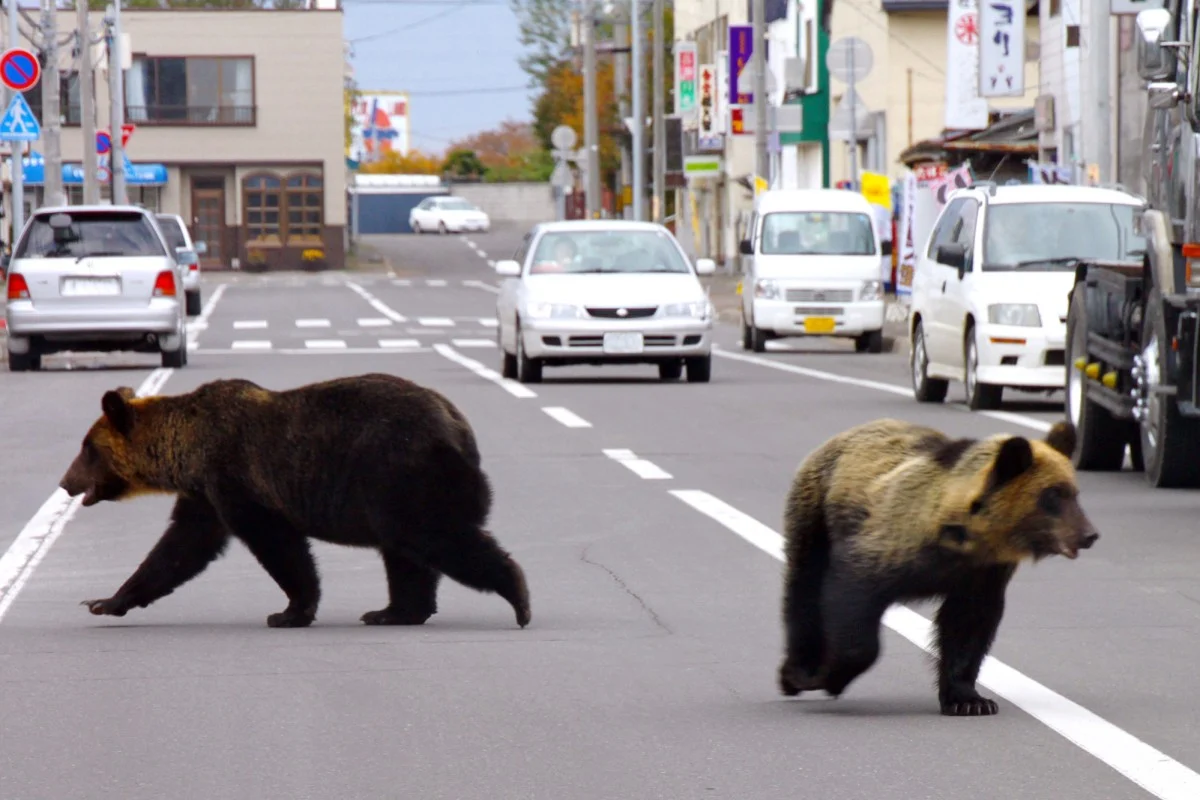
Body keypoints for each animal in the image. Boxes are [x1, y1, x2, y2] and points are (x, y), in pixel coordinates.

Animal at [58, 373, 531, 630]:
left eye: (87, 449)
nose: (65, 482)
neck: (187, 451)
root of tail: (458, 427)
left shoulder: (235, 478)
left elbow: (277, 544)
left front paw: (289, 611)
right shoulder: (205, 494)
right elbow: (179, 548)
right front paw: (104, 601)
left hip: (401, 473)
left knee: (435, 537)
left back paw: (518, 597)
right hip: (395, 489)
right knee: (405, 554)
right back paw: (392, 611)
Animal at [776, 417, 1098, 717]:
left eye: (1074, 492)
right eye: (1053, 494)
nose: (1089, 534)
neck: (963, 538)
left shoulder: (982, 574)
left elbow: (968, 626)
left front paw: (970, 700)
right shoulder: (888, 545)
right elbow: (851, 596)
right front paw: (830, 677)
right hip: (816, 511)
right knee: (804, 585)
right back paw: (796, 672)